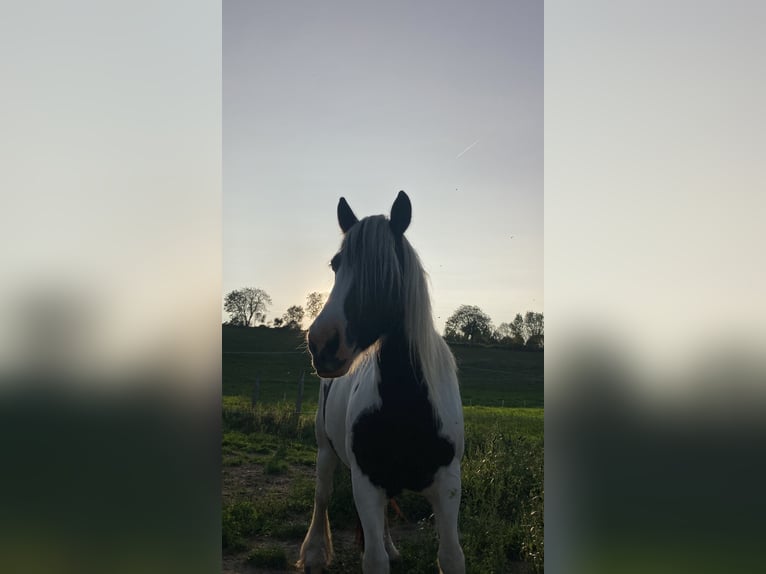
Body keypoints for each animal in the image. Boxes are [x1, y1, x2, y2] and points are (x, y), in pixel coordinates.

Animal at [298, 191, 468, 572]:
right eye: (336, 264)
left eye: (385, 270)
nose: (322, 343)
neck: (407, 405)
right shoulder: (366, 484)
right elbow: (373, 560)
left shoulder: (448, 485)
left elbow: (451, 556)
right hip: (325, 451)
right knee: (322, 497)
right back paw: (313, 552)